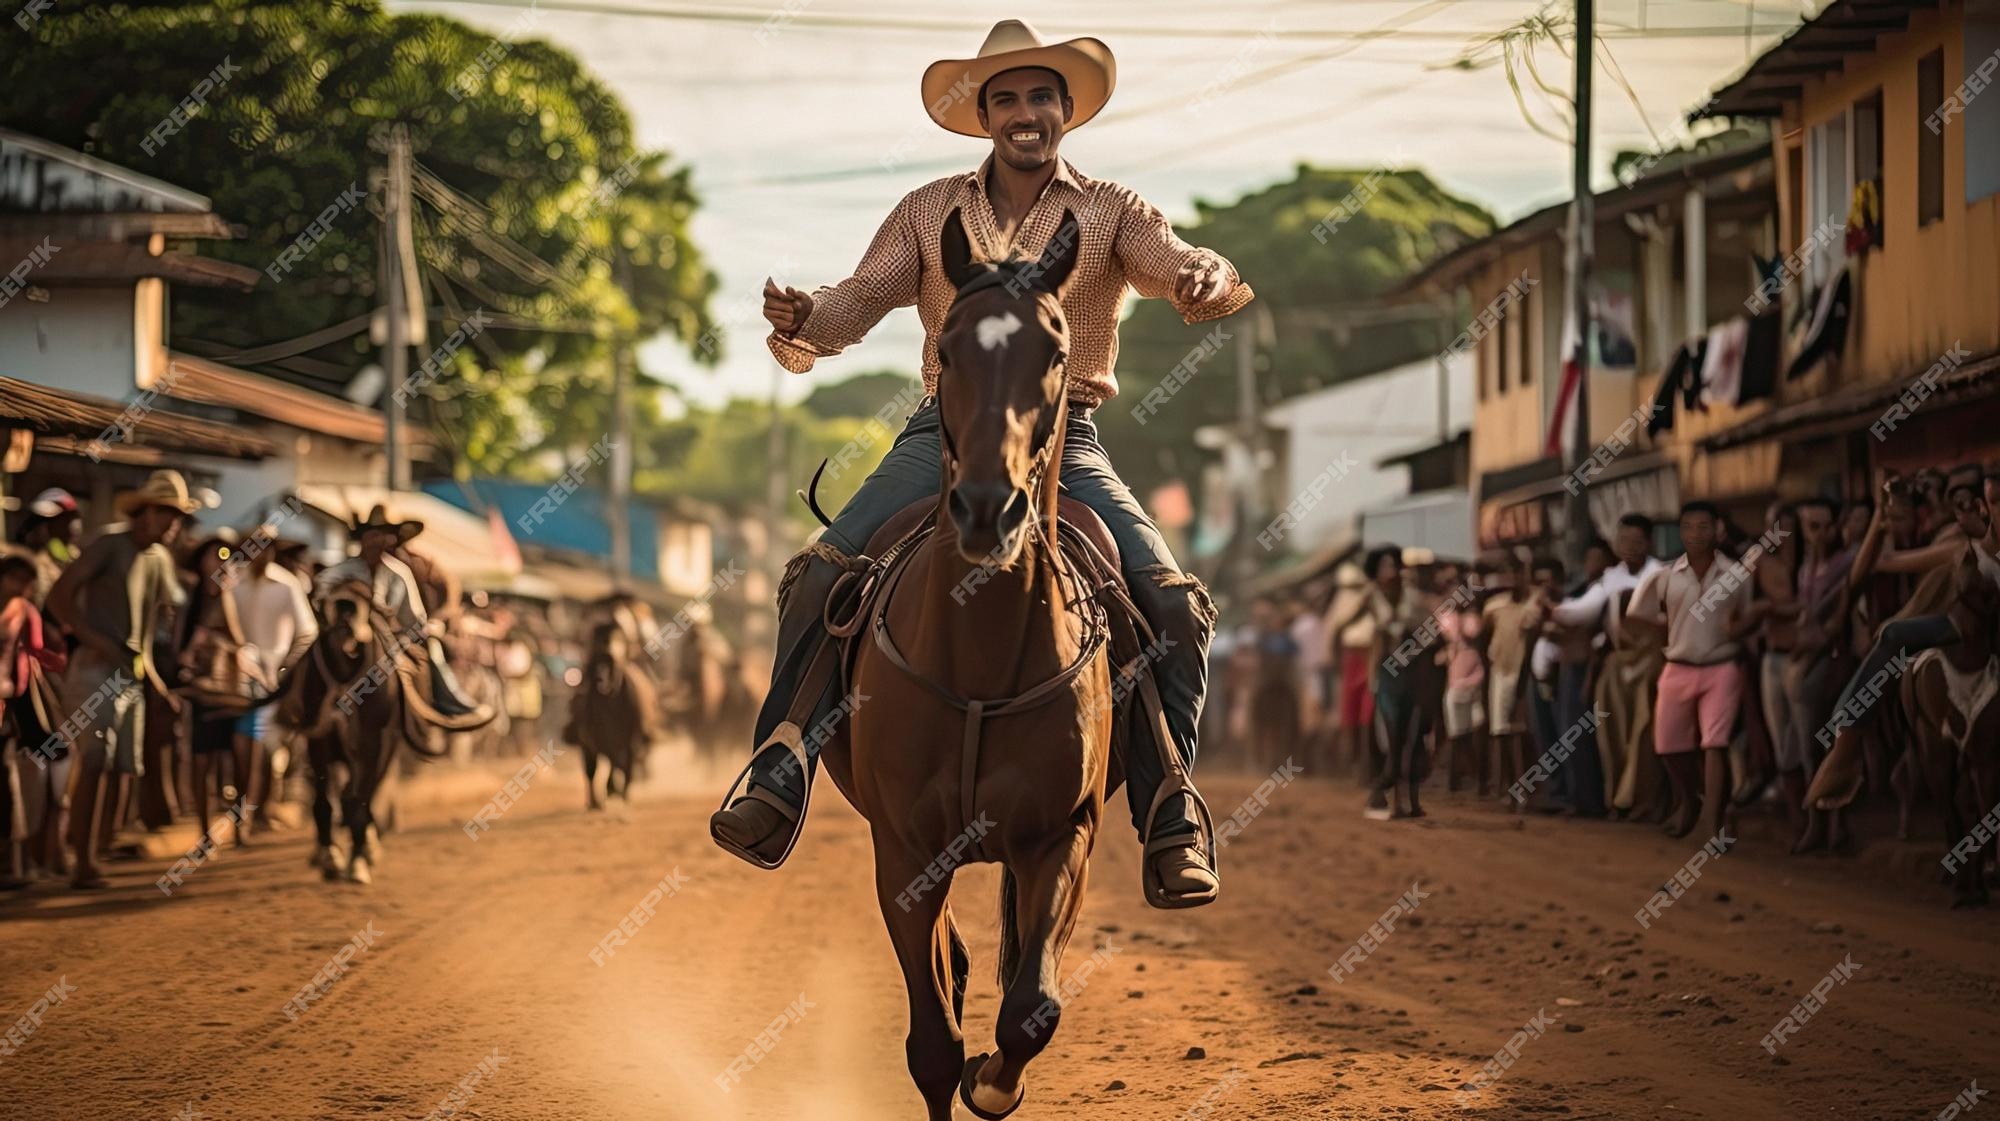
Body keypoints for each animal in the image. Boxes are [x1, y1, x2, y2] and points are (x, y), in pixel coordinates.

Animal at [820, 208, 1120, 1112]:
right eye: (948, 350)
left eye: (1054, 352)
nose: (989, 508)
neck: (981, 656)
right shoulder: (903, 852)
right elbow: (932, 1045)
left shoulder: (1062, 834)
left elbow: (1030, 1009)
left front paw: (995, 1082)